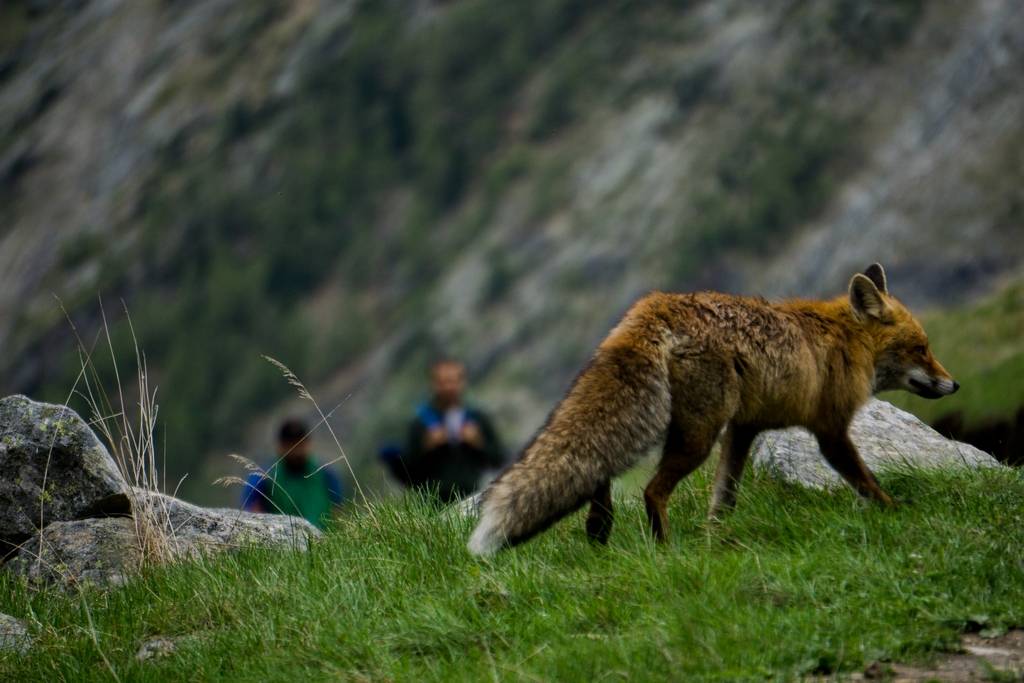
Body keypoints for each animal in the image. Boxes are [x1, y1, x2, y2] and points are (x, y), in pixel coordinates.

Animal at [468, 264, 954, 557]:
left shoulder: (742, 430)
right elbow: (865, 480)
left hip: (680, 427)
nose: (954, 384)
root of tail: (654, 305)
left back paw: (599, 530)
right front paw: (896, 510)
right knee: (650, 491)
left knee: (599, 468)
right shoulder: (830, 429)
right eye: (922, 348)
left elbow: (724, 495)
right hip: (696, 435)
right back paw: (664, 550)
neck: (844, 341)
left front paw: (713, 537)